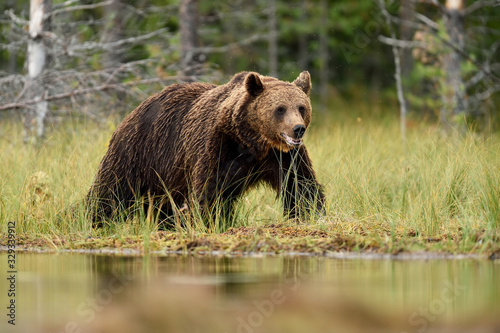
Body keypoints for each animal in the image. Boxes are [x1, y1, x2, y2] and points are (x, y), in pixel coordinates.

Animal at [87, 70, 324, 226]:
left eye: (301, 107)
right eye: (280, 109)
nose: (298, 129)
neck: (253, 142)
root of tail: (134, 110)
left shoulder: (285, 157)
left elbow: (301, 186)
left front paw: (311, 214)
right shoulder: (218, 145)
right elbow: (210, 190)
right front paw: (207, 220)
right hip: (138, 151)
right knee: (111, 190)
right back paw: (94, 219)